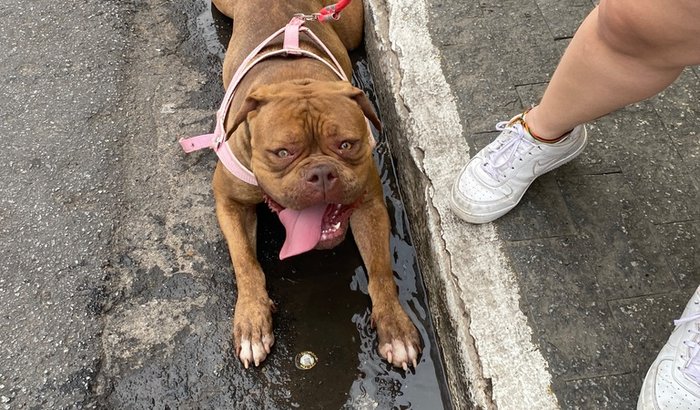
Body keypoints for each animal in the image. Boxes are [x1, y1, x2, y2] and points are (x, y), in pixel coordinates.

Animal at [199, 0, 421, 369]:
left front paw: (395, 327)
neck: (294, 79)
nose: (321, 173)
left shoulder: (369, 205)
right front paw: (252, 320)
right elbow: (245, 261)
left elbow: (380, 269)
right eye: (282, 153)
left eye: (346, 144)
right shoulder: (230, 202)